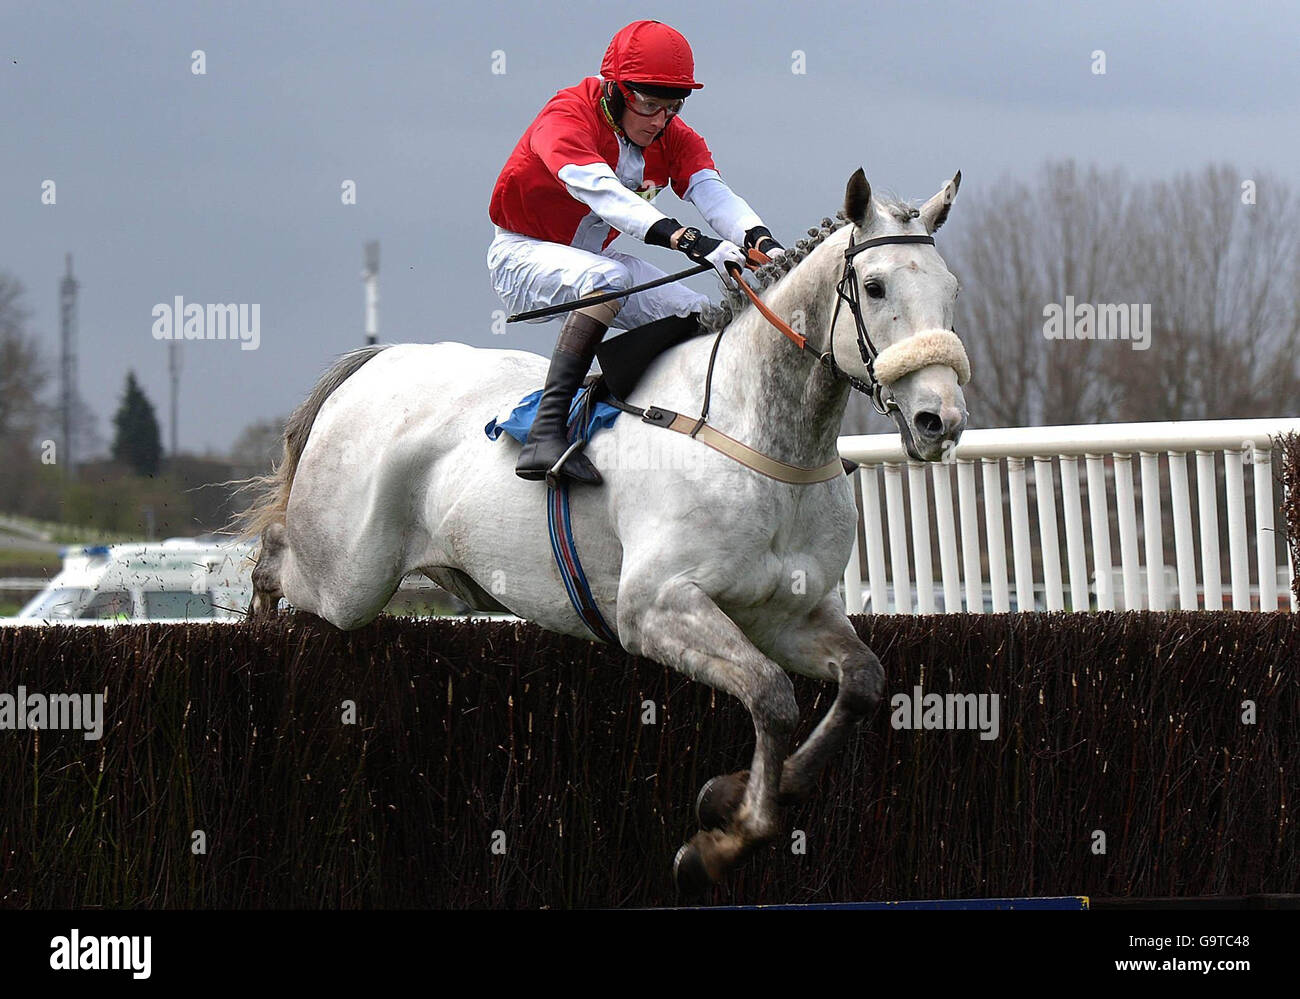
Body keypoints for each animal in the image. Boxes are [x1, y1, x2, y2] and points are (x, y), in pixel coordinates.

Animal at [236, 167, 969, 892]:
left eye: (950, 288)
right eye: (874, 287)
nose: (940, 418)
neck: (755, 432)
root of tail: (374, 362)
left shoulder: (788, 612)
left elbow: (861, 682)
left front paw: (738, 793)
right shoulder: (653, 608)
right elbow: (772, 696)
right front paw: (722, 839)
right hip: (347, 575)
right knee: (272, 558)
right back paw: (258, 630)